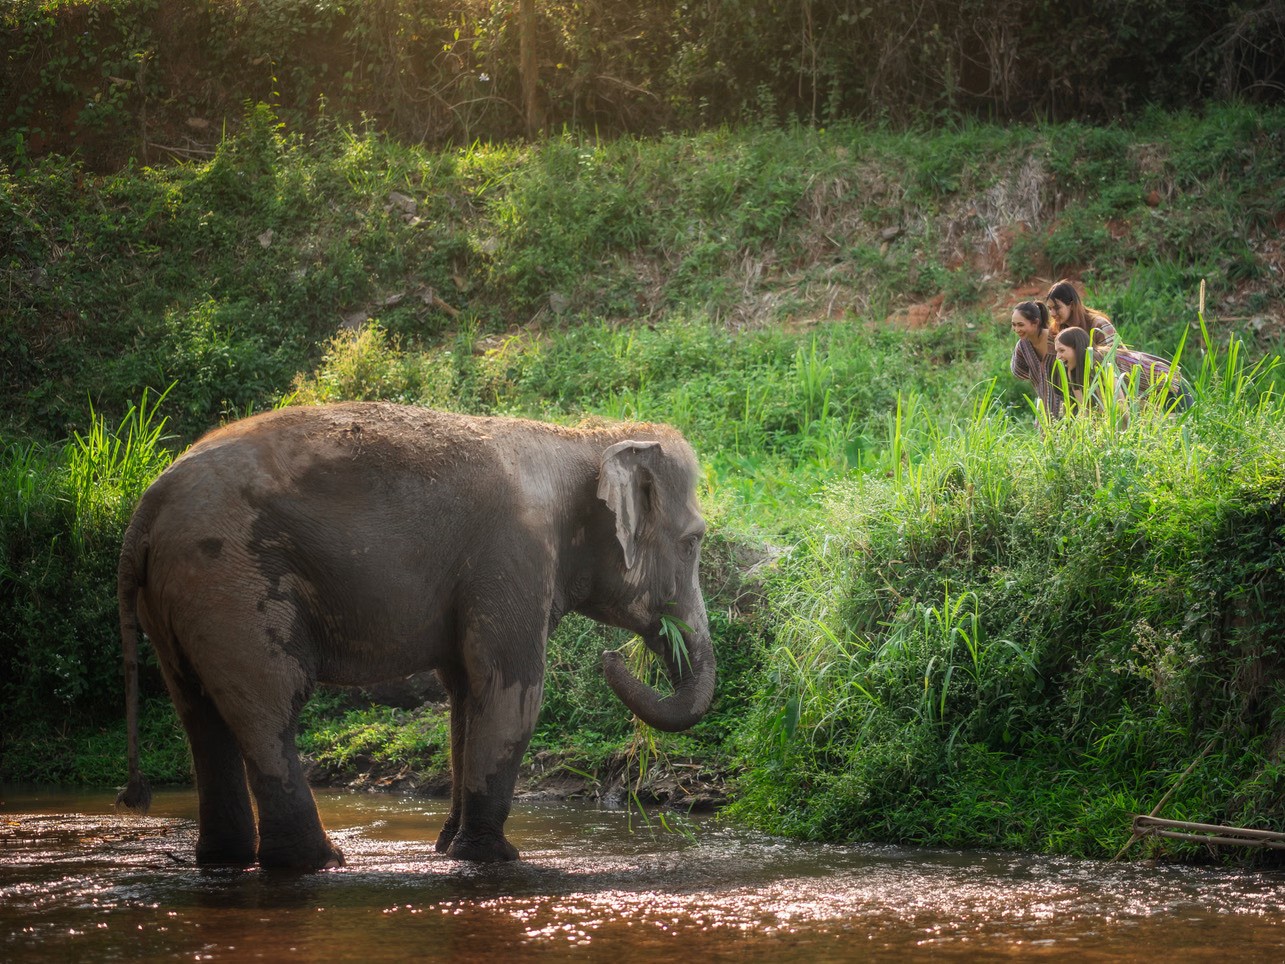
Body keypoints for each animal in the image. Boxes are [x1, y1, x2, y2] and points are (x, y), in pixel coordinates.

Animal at [116, 403, 715, 869]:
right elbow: (511, 693)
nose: (613, 657)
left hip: (180, 599)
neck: (578, 441)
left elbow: (466, 696)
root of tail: (147, 507)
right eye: (693, 542)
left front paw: (448, 849)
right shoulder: (512, 556)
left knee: (200, 715)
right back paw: (316, 863)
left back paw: (226, 861)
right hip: (229, 583)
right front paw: (493, 858)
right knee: (270, 703)